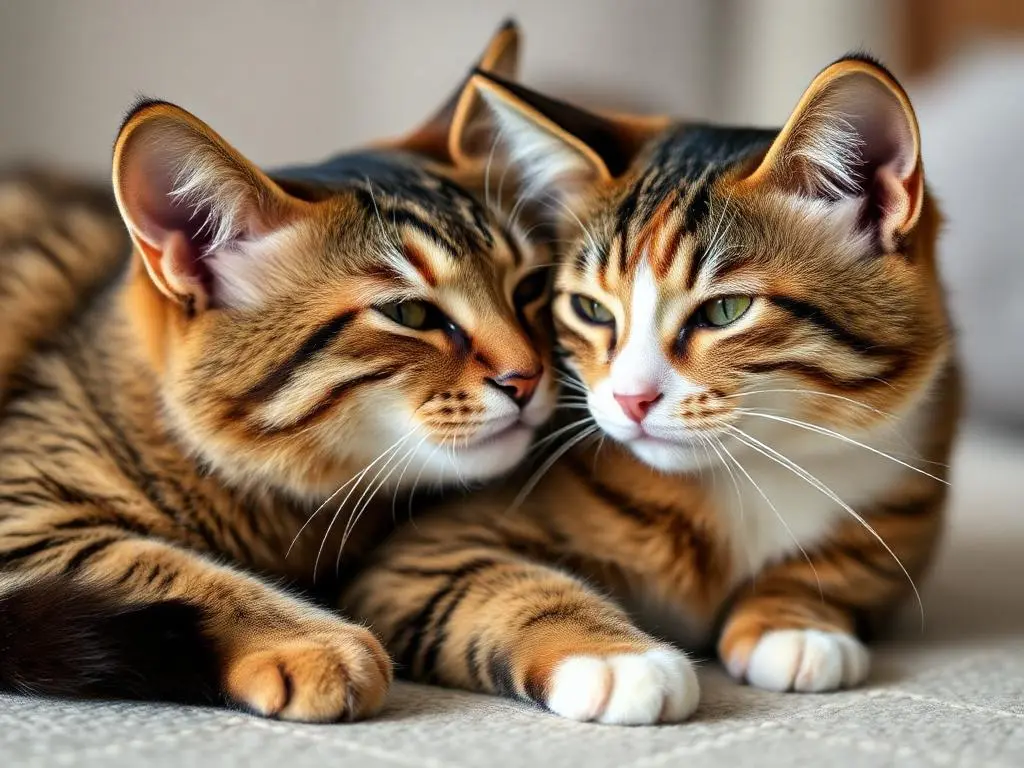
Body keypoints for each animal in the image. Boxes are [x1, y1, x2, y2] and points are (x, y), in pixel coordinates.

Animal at [2, 22, 561, 720]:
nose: (529, 376)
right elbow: (158, 563)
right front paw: (308, 639)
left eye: (530, 288)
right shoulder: (23, 504)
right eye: (409, 313)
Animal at [346, 57, 958, 724]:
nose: (631, 400)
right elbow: (495, 581)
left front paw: (795, 621)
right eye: (590, 308)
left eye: (725, 310)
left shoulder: (908, 483)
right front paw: (616, 658)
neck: (755, 465)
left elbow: (856, 562)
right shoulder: (419, 550)